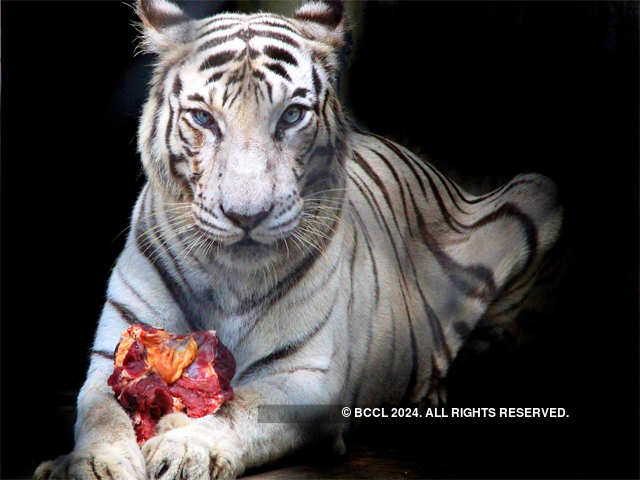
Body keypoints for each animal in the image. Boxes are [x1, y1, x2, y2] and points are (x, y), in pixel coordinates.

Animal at [37, 1, 564, 478]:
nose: (246, 215)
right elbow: (101, 415)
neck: (227, 276)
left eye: (291, 116)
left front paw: (184, 447)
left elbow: (239, 407)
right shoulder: (111, 359)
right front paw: (88, 464)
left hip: (536, 193)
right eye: (204, 119)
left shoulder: (305, 377)